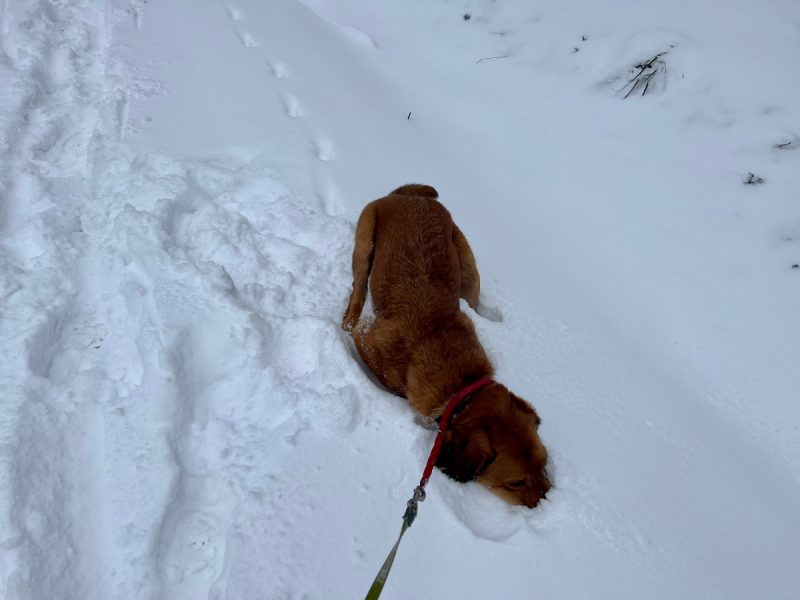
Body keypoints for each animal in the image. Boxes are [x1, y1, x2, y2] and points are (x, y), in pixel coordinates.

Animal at [340, 183, 552, 506]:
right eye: (515, 483)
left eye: (545, 462)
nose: (548, 498)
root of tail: (410, 196)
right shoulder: (369, 337)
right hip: (365, 238)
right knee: (357, 290)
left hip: (467, 267)